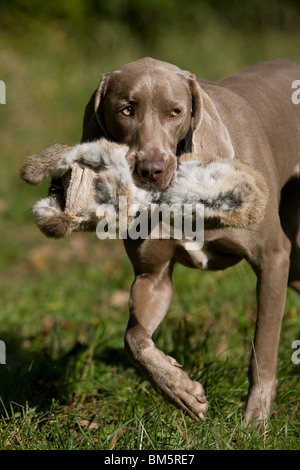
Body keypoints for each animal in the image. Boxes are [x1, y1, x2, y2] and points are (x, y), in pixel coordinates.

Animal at [81, 57, 300, 424]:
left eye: (175, 112)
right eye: (127, 110)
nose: (151, 170)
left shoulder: (273, 257)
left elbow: (263, 347)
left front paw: (255, 420)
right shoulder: (152, 277)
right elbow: (134, 339)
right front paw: (179, 389)